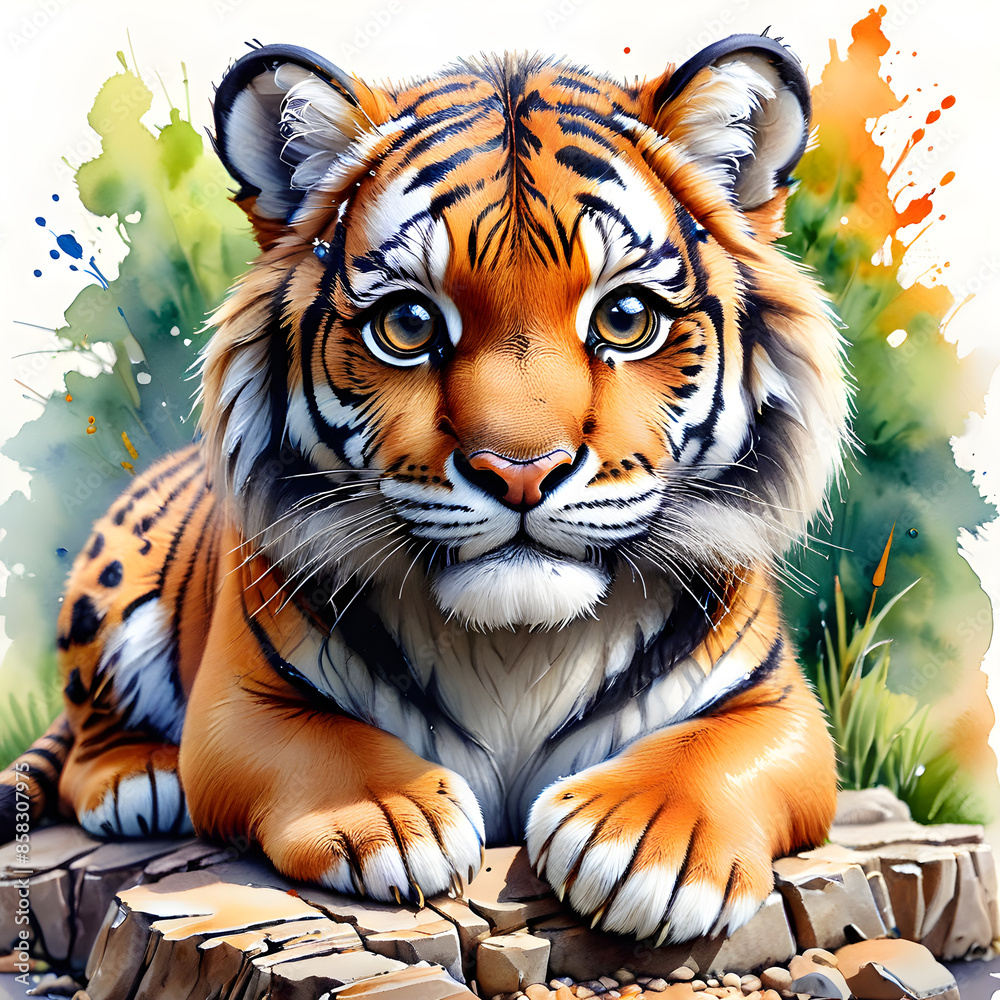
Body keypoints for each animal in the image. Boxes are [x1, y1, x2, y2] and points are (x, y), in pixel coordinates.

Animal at [1, 34, 847, 945]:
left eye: (625, 318)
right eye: (408, 325)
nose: (521, 471)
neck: (517, 647)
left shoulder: (780, 704)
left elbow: (712, 751)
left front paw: (652, 840)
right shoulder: (239, 703)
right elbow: (324, 745)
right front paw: (391, 817)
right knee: (89, 735)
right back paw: (140, 779)